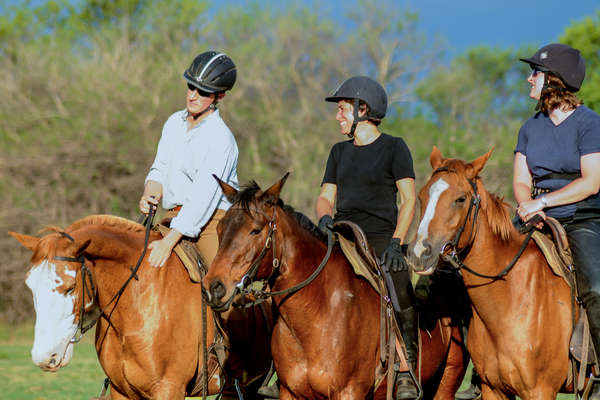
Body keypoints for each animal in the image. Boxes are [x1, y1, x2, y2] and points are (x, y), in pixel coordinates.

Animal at [202, 176, 468, 400]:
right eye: (220, 228)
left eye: (256, 230)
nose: (213, 287)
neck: (317, 312)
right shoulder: (291, 393)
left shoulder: (349, 393)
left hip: (447, 382)